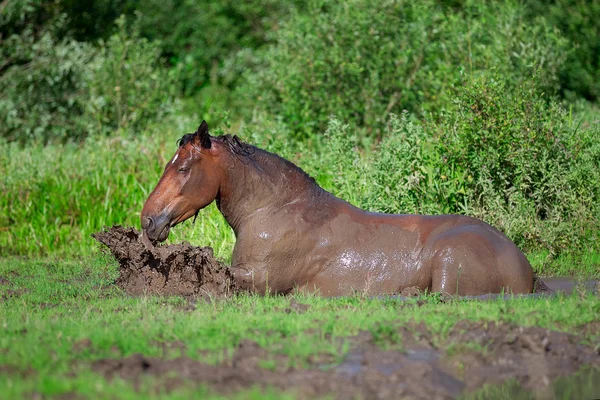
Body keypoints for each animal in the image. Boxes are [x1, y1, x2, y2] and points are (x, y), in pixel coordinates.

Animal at [141, 122, 536, 296]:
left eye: (183, 167)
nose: (148, 220)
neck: (273, 210)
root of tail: (525, 269)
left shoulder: (259, 281)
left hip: (449, 259)